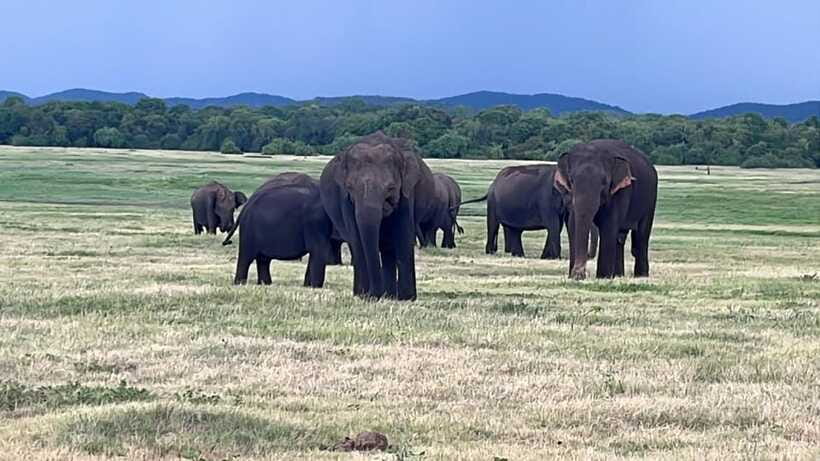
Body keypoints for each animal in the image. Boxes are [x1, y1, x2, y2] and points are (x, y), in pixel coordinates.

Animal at [320, 131, 437, 300]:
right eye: (350, 187)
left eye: (391, 188)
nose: (374, 294)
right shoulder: (346, 200)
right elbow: (357, 239)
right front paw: (364, 295)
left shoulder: (407, 193)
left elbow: (403, 235)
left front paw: (407, 298)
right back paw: (381, 294)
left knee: (389, 248)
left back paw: (390, 296)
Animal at [458, 164, 597, 259]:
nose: (588, 256)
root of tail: (493, 183)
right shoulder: (545, 199)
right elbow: (554, 225)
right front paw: (555, 258)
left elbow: (562, 224)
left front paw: (546, 258)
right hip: (493, 203)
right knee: (493, 226)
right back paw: (491, 253)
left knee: (514, 230)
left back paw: (518, 255)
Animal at [553, 139, 658, 280]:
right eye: (572, 180)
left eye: (604, 183)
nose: (580, 274)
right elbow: (573, 225)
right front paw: (573, 276)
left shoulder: (620, 192)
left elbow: (609, 226)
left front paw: (602, 277)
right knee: (620, 238)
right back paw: (618, 275)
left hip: (650, 200)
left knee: (640, 238)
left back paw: (641, 276)